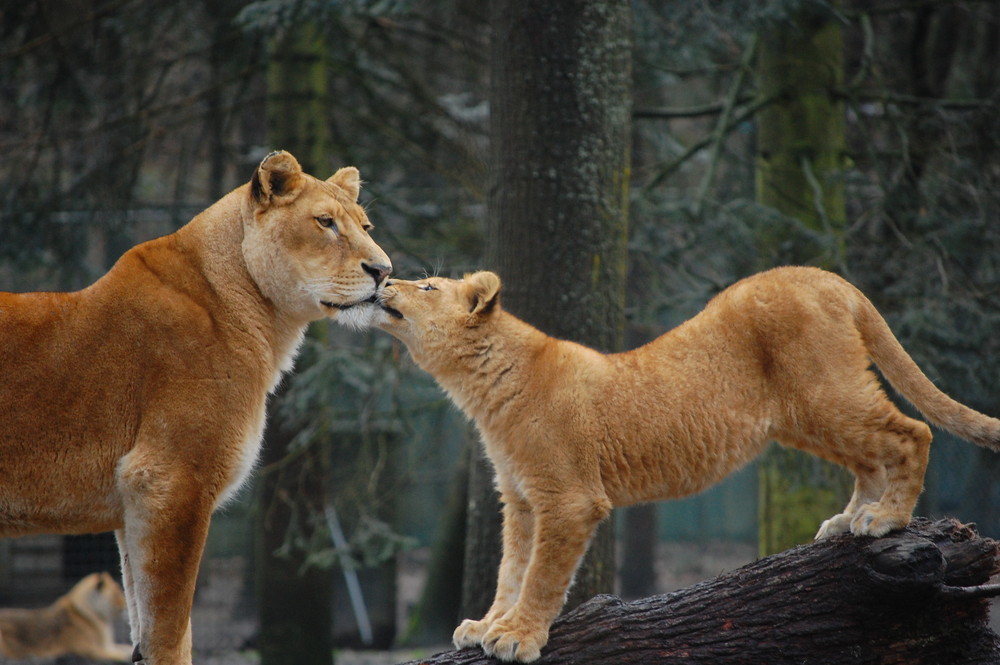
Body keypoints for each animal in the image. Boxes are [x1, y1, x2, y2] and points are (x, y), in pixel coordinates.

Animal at [0, 568, 132, 660]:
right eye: (117, 593)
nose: (126, 606)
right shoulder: (90, 650)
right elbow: (120, 654)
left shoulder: (108, 646)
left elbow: (125, 648)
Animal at [364, 268, 1000, 660]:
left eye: (426, 285)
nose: (386, 279)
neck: (479, 389)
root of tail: (826, 276)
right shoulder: (520, 500)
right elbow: (511, 570)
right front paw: (488, 625)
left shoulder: (568, 498)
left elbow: (542, 574)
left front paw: (518, 636)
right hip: (803, 416)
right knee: (868, 456)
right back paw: (850, 521)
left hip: (824, 393)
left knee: (913, 431)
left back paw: (887, 518)